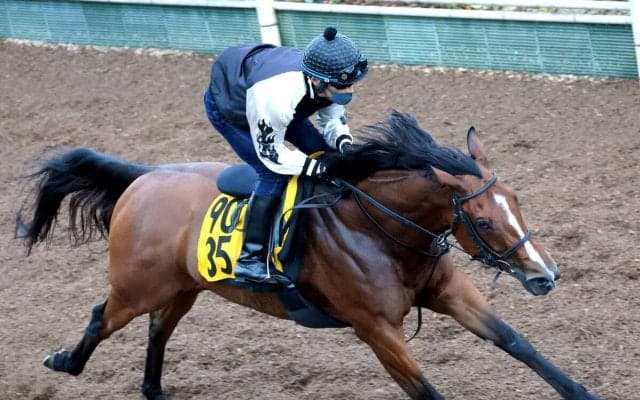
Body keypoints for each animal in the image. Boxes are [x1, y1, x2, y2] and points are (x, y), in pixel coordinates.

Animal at [16, 111, 600, 400]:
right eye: (481, 220)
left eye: (516, 201)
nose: (546, 275)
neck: (379, 230)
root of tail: (143, 178)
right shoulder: (376, 329)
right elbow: (425, 390)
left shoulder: (449, 292)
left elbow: (519, 344)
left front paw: (582, 393)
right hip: (137, 287)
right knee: (102, 317)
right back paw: (65, 361)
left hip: (186, 286)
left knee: (159, 330)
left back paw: (154, 391)